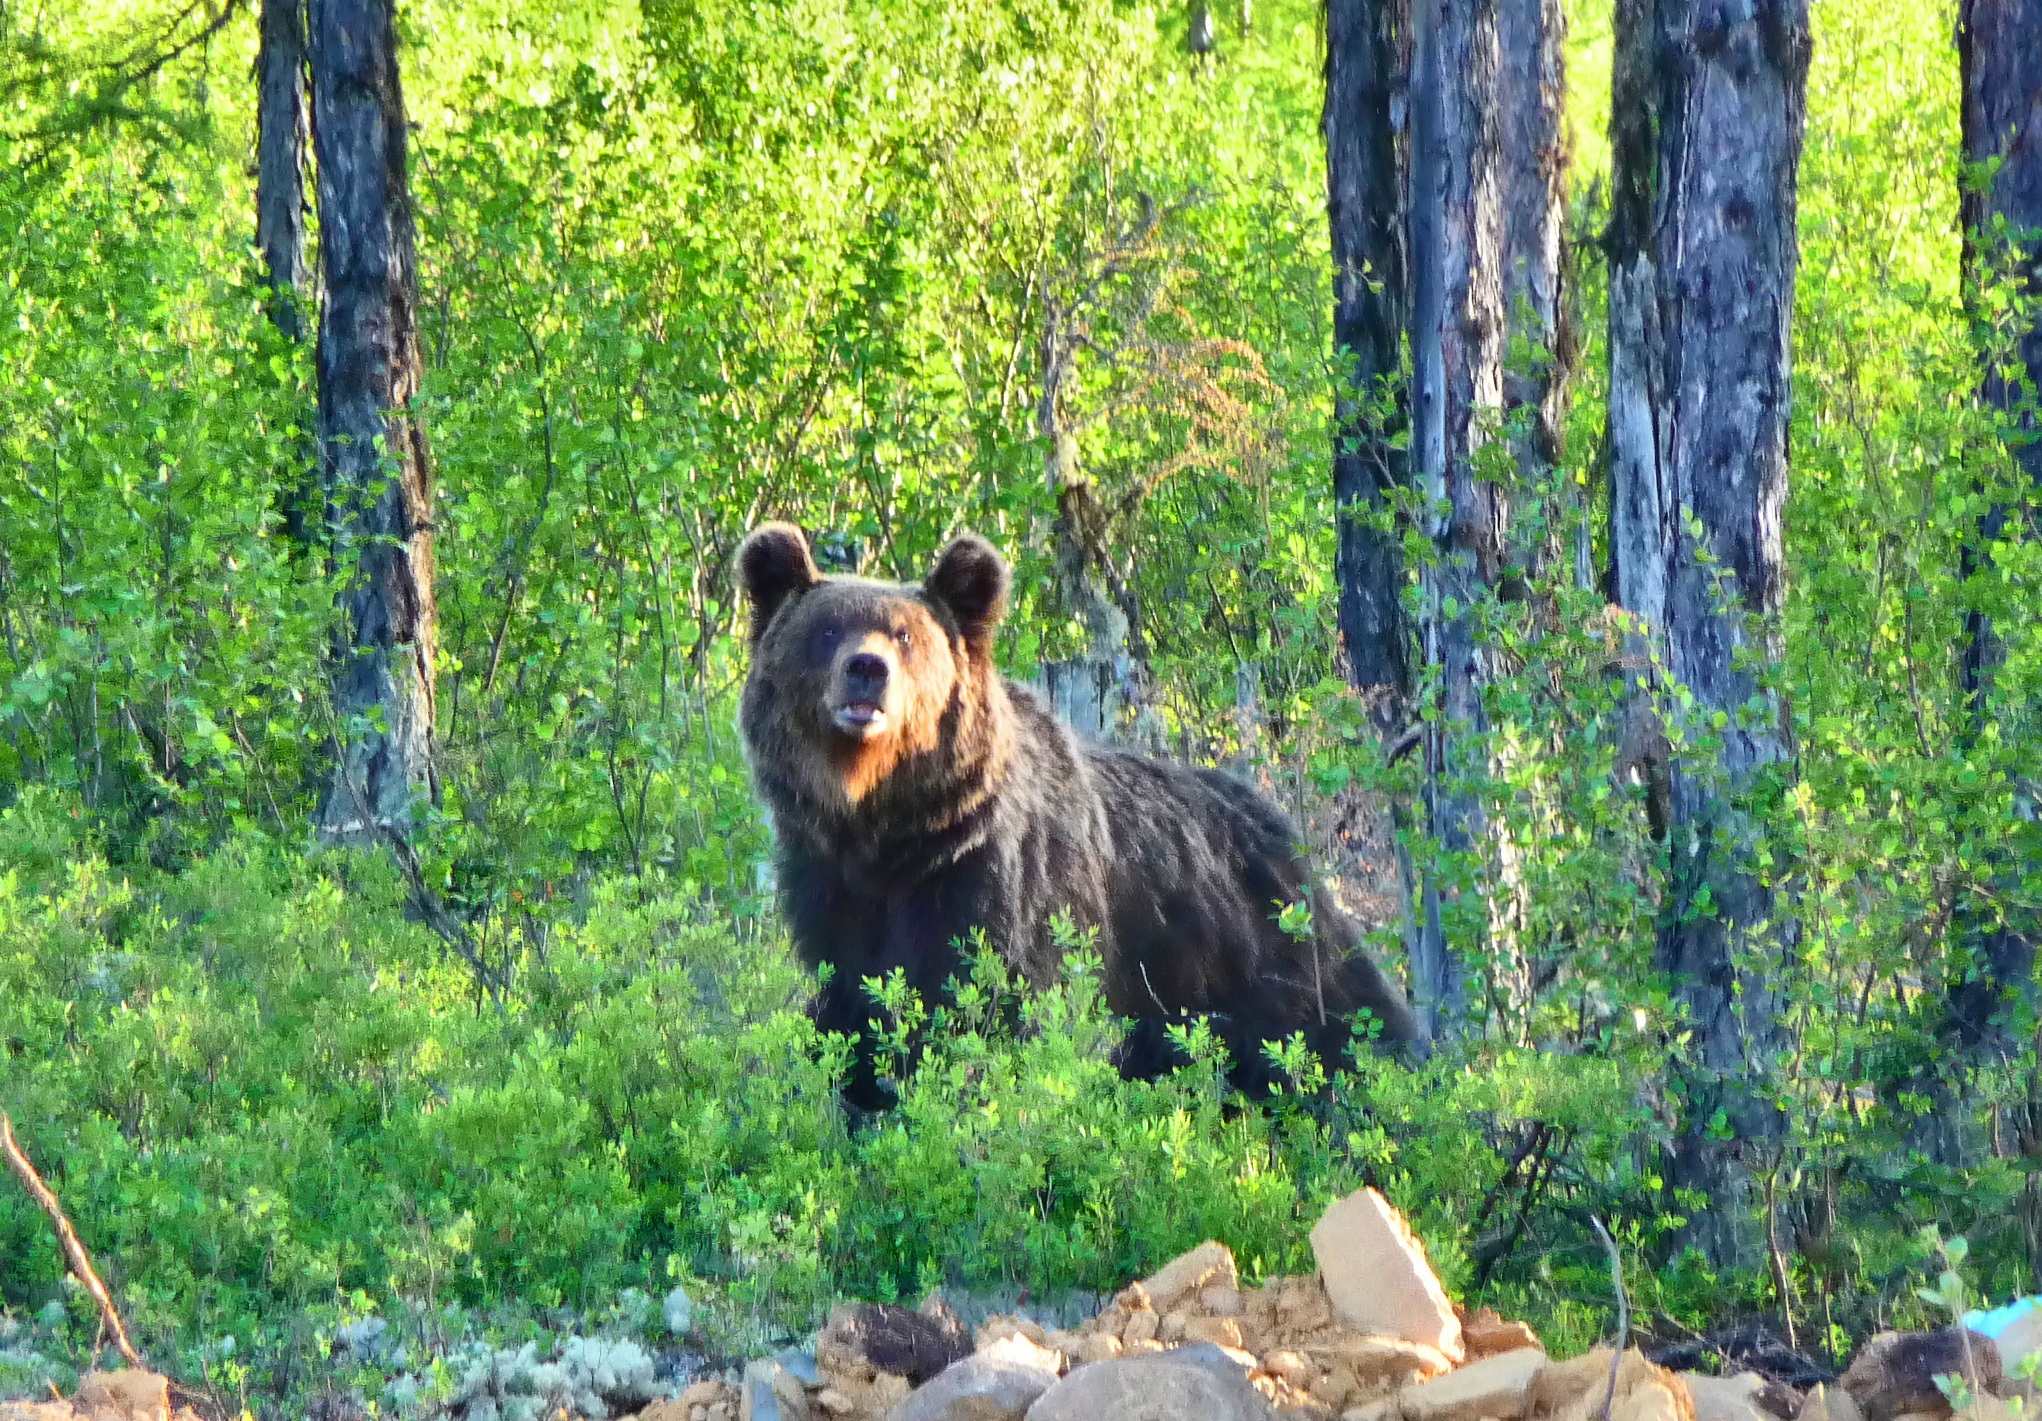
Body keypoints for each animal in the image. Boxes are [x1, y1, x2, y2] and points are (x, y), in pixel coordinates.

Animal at [739, 522, 1421, 1110]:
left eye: (905, 636)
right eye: (828, 631)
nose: (867, 669)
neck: (888, 825)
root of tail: (1274, 816)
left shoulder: (992, 879)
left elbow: (984, 1007)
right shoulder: (829, 882)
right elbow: (850, 1002)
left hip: (1265, 942)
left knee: (1342, 1024)